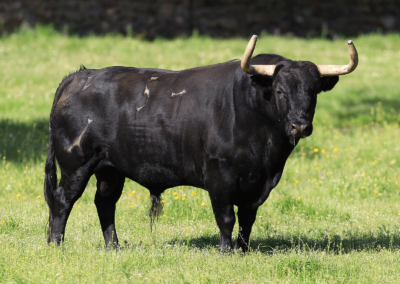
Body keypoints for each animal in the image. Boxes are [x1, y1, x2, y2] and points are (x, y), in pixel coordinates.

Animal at [44, 52, 340, 251]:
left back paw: (114, 246)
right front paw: (225, 252)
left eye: (314, 91)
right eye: (280, 91)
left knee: (104, 202)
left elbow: (247, 219)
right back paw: (57, 245)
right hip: (76, 164)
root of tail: (81, 75)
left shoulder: (256, 184)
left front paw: (243, 250)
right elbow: (226, 217)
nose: (300, 126)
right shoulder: (220, 178)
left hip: (110, 169)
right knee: (63, 200)